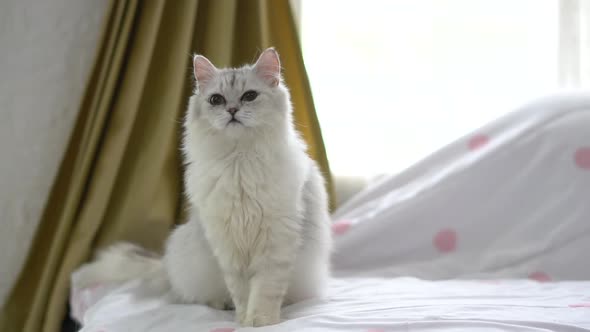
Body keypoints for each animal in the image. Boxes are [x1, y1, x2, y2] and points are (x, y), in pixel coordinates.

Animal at [73, 47, 332, 326]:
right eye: (216, 100)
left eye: (249, 96)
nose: (232, 110)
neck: (239, 163)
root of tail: (166, 265)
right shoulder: (228, 246)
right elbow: (242, 292)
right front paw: (243, 320)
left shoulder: (275, 243)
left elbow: (264, 289)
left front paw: (261, 321)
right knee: (194, 296)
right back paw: (222, 305)